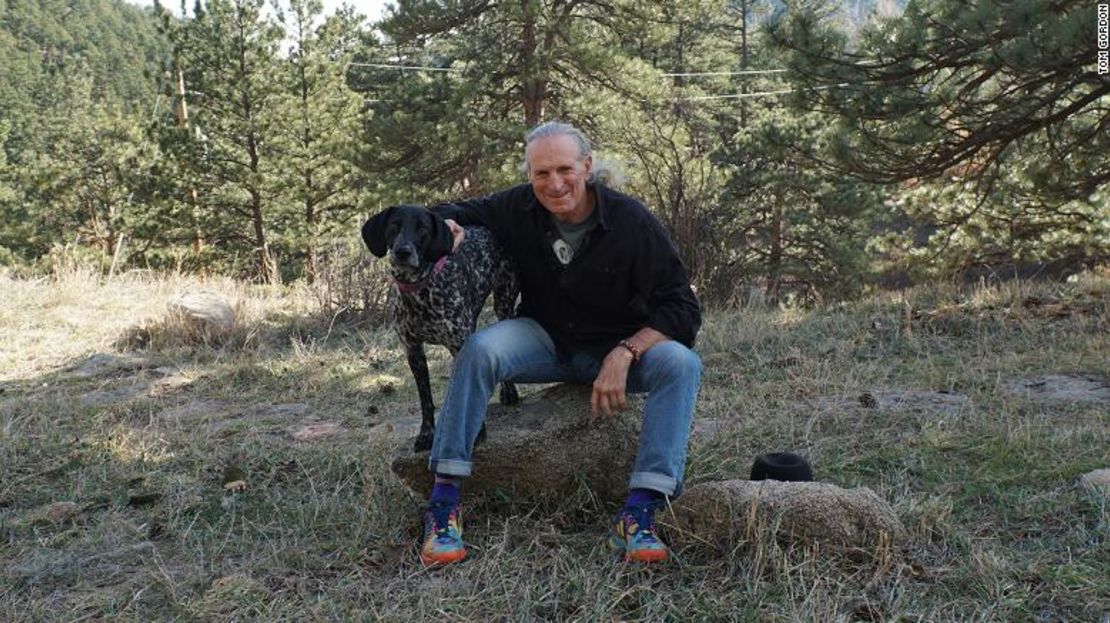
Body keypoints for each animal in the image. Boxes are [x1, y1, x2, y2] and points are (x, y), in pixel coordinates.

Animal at [361, 206, 521, 448]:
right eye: (393, 226)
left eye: (423, 229)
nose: (402, 252)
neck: (420, 290)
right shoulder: (413, 351)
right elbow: (425, 399)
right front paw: (426, 434)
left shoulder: (460, 346)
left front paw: (477, 432)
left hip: (504, 303)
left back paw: (509, 391)